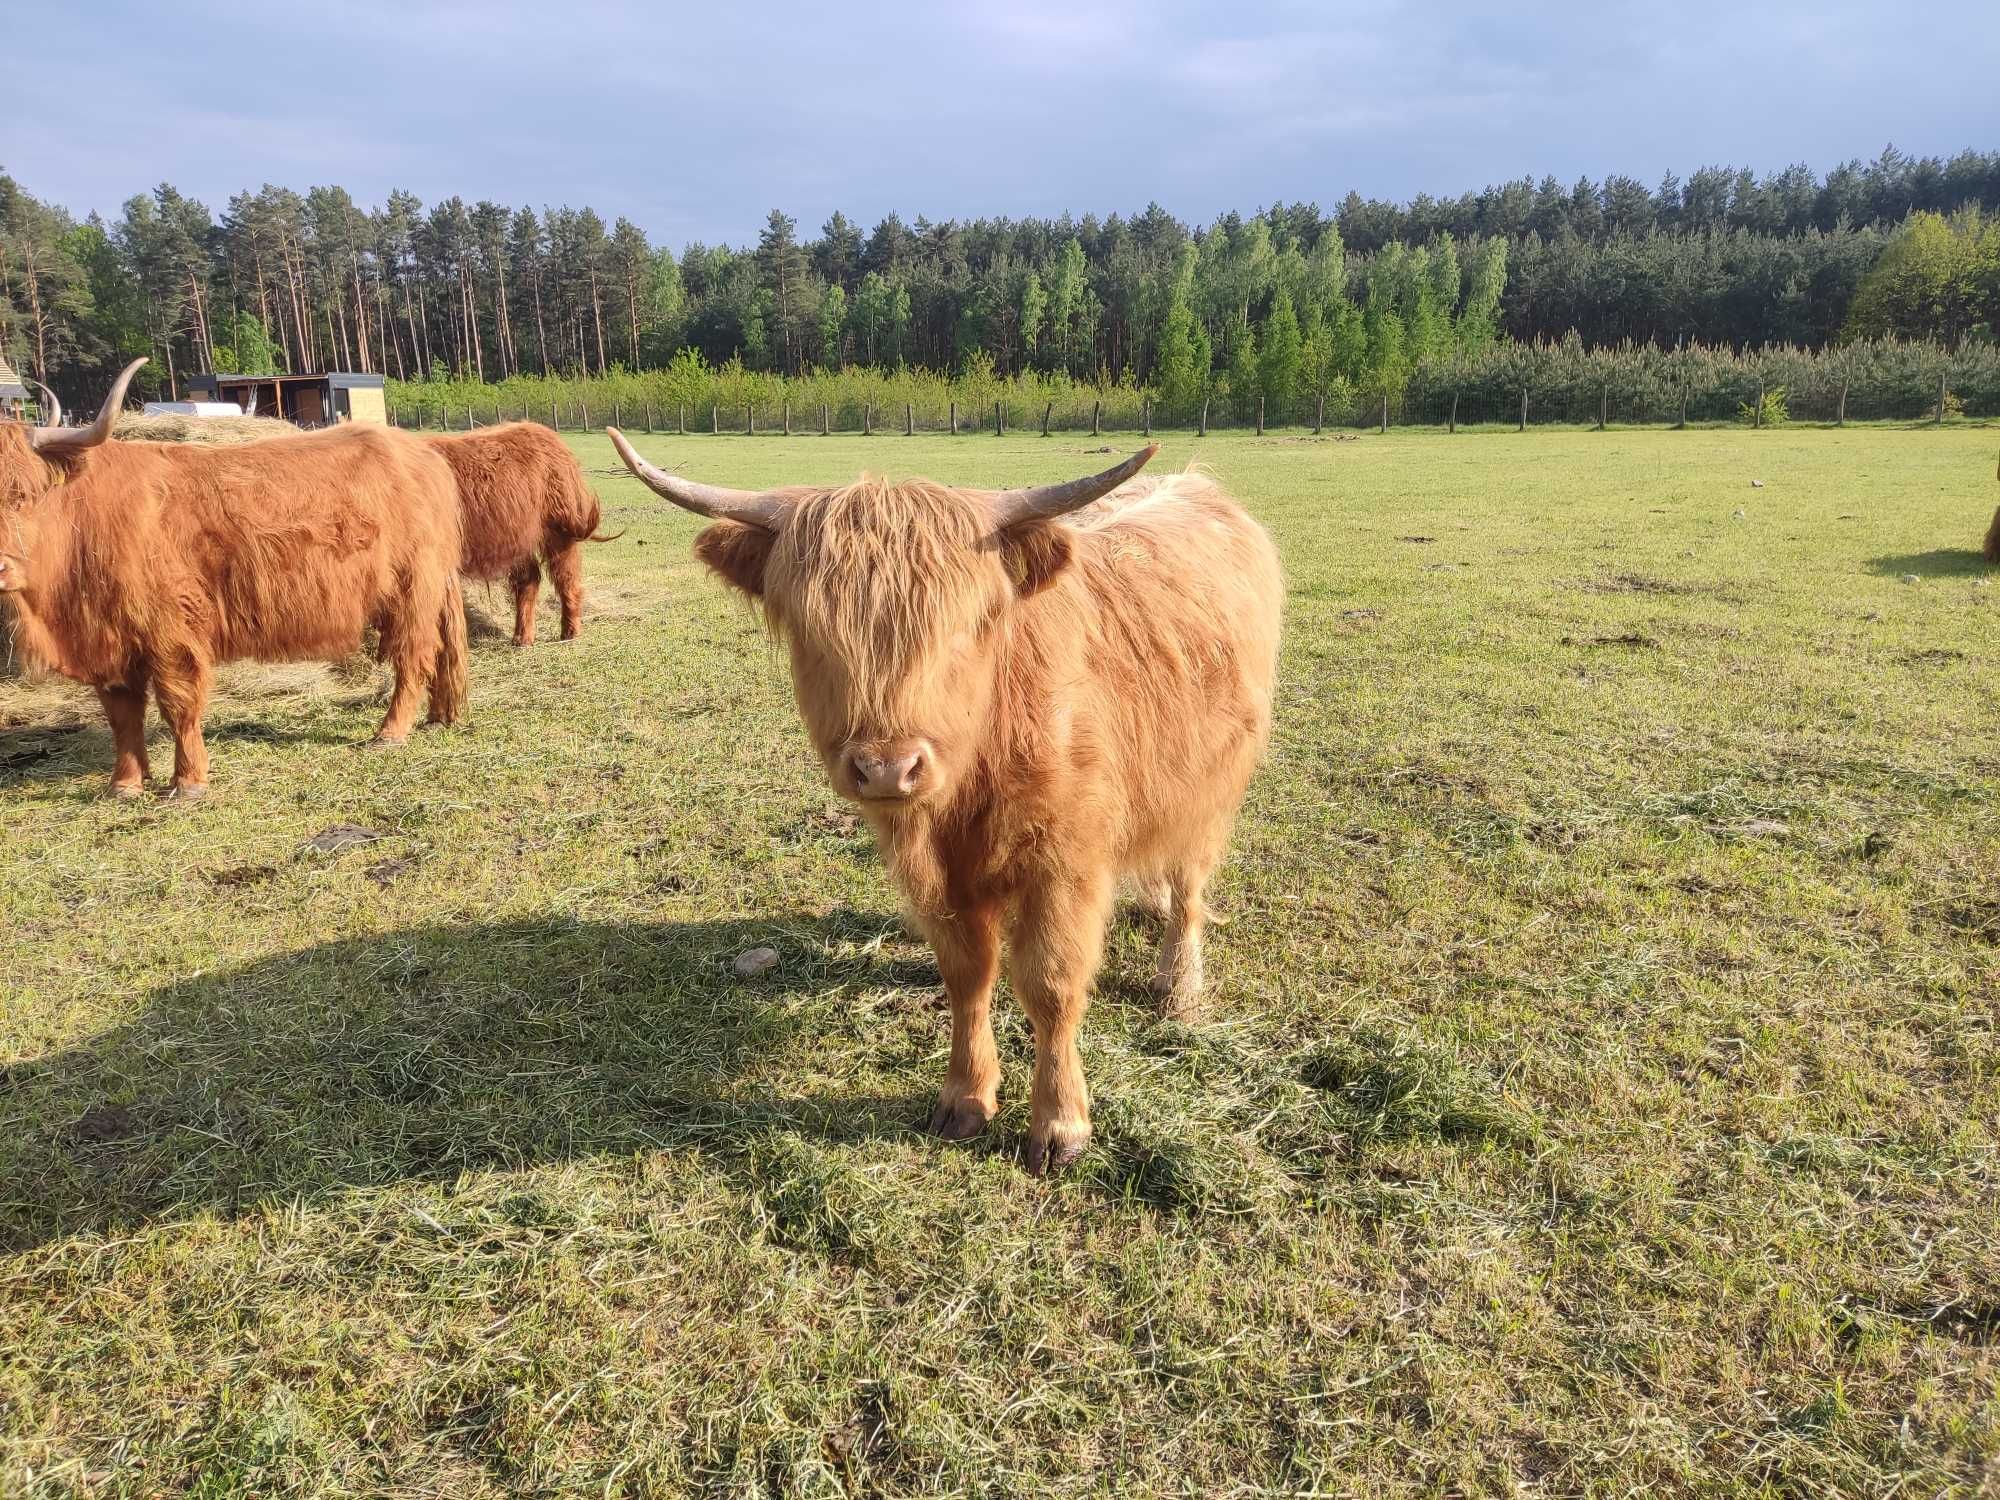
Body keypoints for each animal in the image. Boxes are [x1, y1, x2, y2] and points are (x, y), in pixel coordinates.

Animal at [1, 362, 468, 800]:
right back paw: (438, 717)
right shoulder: (108, 642)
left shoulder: (171, 633)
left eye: (22, 495)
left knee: (413, 657)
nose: (2, 568)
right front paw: (125, 784)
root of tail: (423, 452)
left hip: (412, 590)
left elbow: (178, 705)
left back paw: (390, 732)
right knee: (441, 651)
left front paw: (188, 783)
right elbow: (122, 716)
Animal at [432, 420, 620, 644]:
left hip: (559, 530)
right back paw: (522, 638)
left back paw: (570, 632)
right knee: (529, 579)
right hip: (519, 537)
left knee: (566, 577)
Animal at [608, 428, 1288, 1184]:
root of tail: (1196, 485)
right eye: (812, 632)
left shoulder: (1067, 861)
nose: (887, 767)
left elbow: (1051, 984)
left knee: (1191, 881)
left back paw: (1179, 986)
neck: (972, 781)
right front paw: (965, 1098)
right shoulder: (936, 874)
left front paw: (1061, 1124)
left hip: (1212, 782)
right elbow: (967, 975)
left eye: (965, 627)